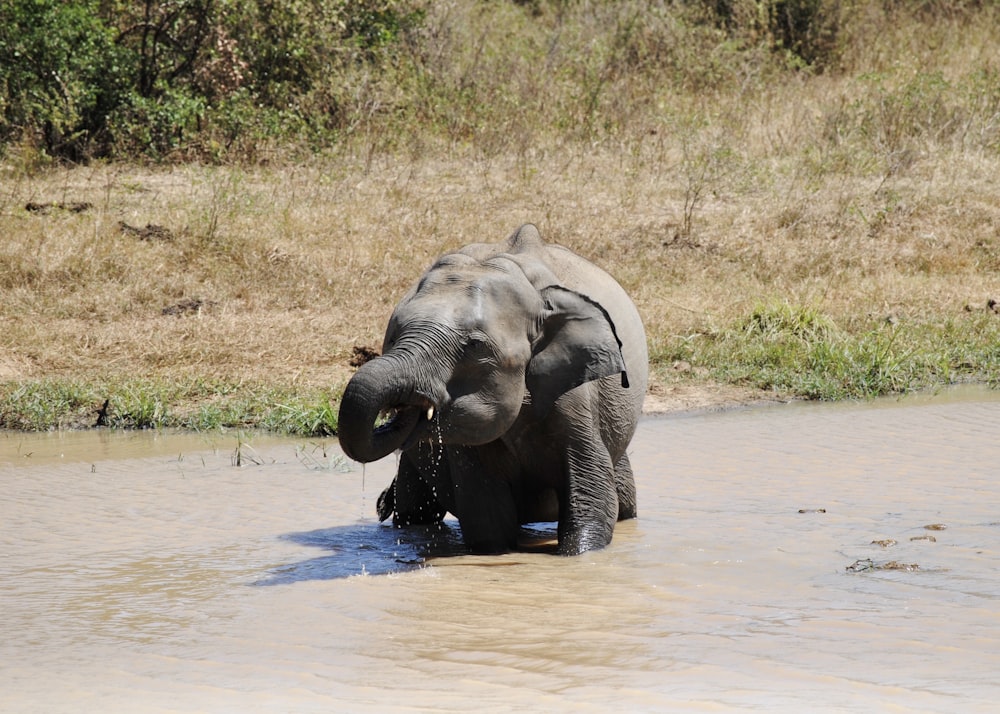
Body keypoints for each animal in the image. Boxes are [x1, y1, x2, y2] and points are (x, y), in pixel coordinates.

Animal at [336, 222, 648, 556]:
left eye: (473, 346)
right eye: (393, 336)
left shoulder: (575, 391)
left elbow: (591, 493)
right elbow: (485, 514)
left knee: (622, 499)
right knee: (415, 511)